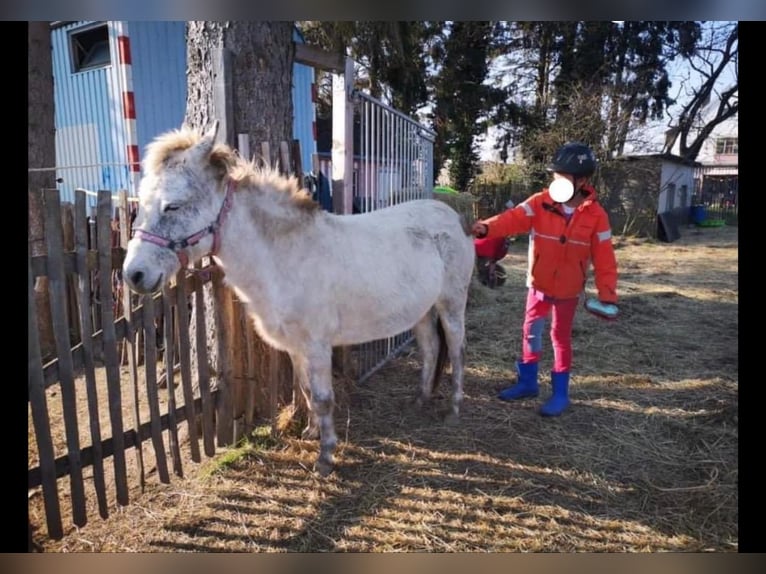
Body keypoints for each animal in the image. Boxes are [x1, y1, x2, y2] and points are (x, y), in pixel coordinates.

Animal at [123, 121, 476, 476]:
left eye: (173, 205)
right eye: (141, 203)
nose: (134, 274)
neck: (287, 256)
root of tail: (454, 216)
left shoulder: (318, 345)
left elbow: (322, 398)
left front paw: (326, 456)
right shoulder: (294, 346)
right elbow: (306, 390)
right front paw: (311, 432)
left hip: (451, 304)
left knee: (457, 351)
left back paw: (454, 409)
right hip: (422, 310)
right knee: (431, 348)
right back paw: (420, 399)